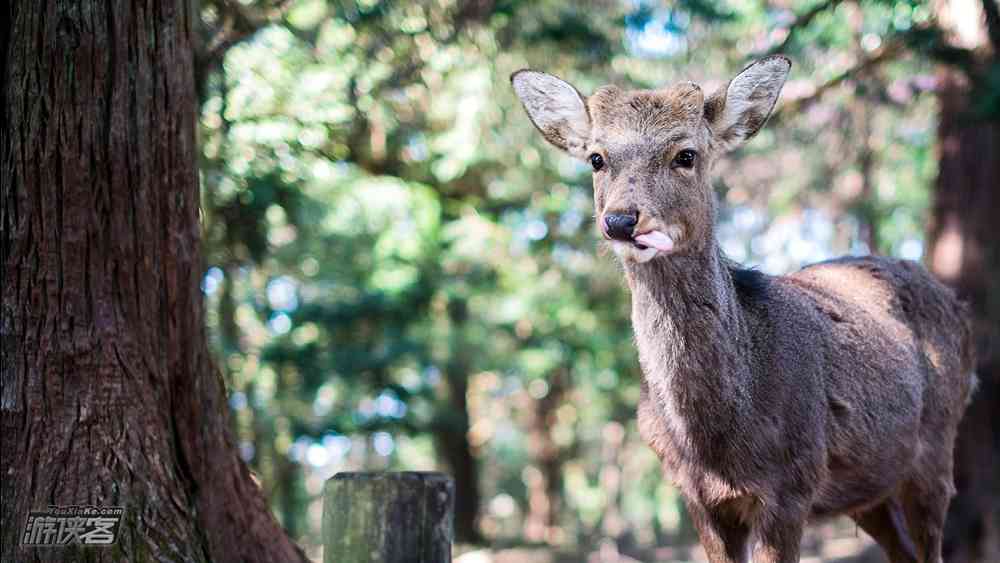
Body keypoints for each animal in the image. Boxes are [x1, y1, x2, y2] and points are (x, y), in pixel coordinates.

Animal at [512, 56, 972, 563]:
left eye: (686, 154)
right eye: (596, 158)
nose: (620, 220)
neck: (715, 438)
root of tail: (958, 306)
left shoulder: (792, 484)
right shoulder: (696, 495)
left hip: (936, 451)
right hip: (869, 486)